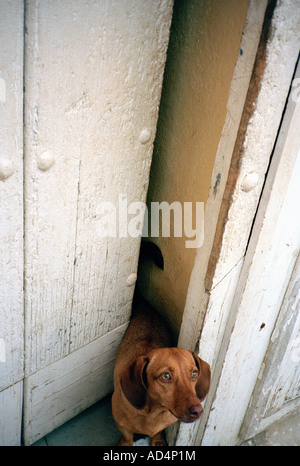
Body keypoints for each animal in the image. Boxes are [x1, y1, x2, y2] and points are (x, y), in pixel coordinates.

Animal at [112, 292, 211, 448]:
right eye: (166, 376)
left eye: (194, 374)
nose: (198, 411)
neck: (152, 412)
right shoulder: (121, 424)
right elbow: (127, 436)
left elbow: (158, 433)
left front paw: (158, 440)